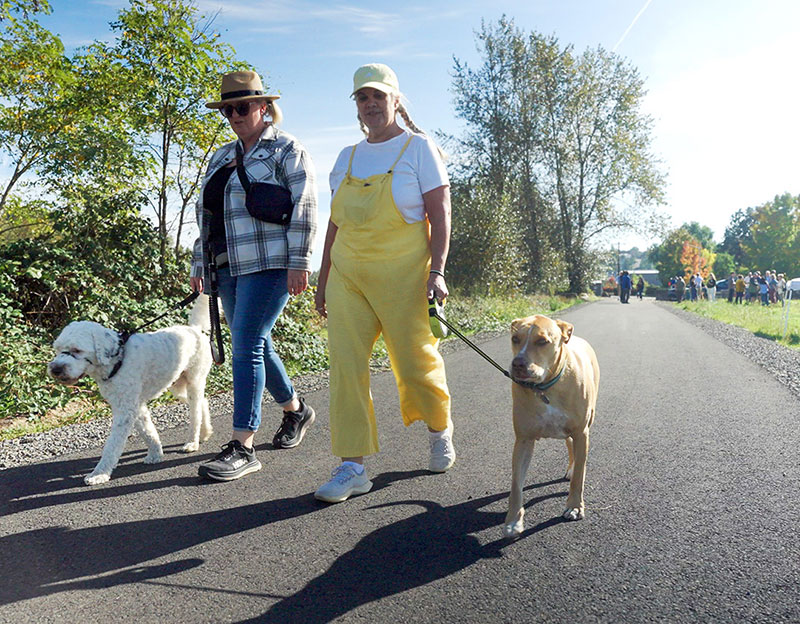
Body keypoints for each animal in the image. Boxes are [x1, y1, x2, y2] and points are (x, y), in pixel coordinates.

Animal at [47, 298, 212, 488]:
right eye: (58, 349)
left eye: (77, 350)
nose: (55, 369)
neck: (117, 360)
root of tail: (195, 329)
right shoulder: (135, 406)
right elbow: (147, 431)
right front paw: (155, 454)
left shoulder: (125, 411)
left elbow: (112, 446)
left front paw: (99, 474)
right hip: (177, 385)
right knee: (203, 402)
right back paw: (205, 433)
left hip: (194, 382)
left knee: (195, 413)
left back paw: (193, 442)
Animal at [504, 314, 596, 540]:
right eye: (515, 339)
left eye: (542, 341)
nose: (517, 363)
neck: (545, 388)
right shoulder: (523, 440)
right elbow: (516, 484)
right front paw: (513, 521)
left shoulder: (581, 433)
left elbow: (579, 476)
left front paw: (575, 507)